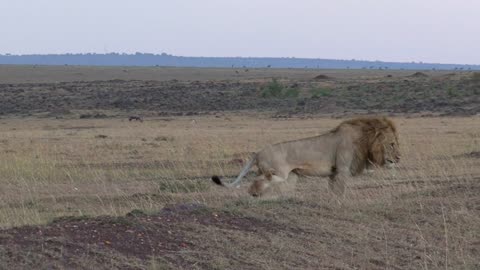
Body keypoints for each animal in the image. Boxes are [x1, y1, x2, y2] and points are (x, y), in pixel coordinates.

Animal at [212, 116, 400, 196]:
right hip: (281, 173)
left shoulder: (334, 172)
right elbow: (340, 190)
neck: (365, 139)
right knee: (262, 179)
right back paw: (255, 193)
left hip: (285, 175)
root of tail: (258, 152)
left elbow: (332, 189)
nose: (399, 158)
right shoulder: (342, 170)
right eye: (392, 144)